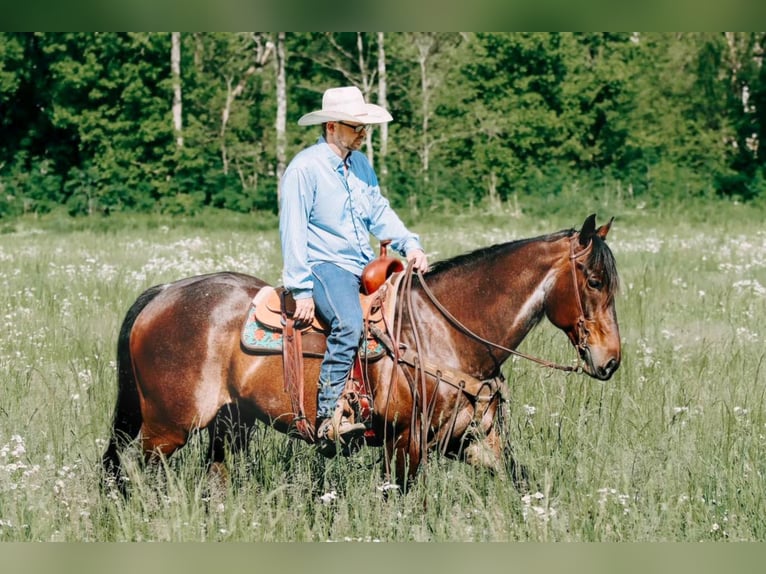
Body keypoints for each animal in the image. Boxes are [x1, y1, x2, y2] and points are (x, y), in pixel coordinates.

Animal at [102, 215, 620, 490]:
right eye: (595, 281)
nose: (610, 361)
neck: (444, 332)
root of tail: (163, 292)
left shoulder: (472, 440)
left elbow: (521, 483)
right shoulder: (404, 442)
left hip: (228, 427)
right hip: (167, 428)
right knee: (134, 476)